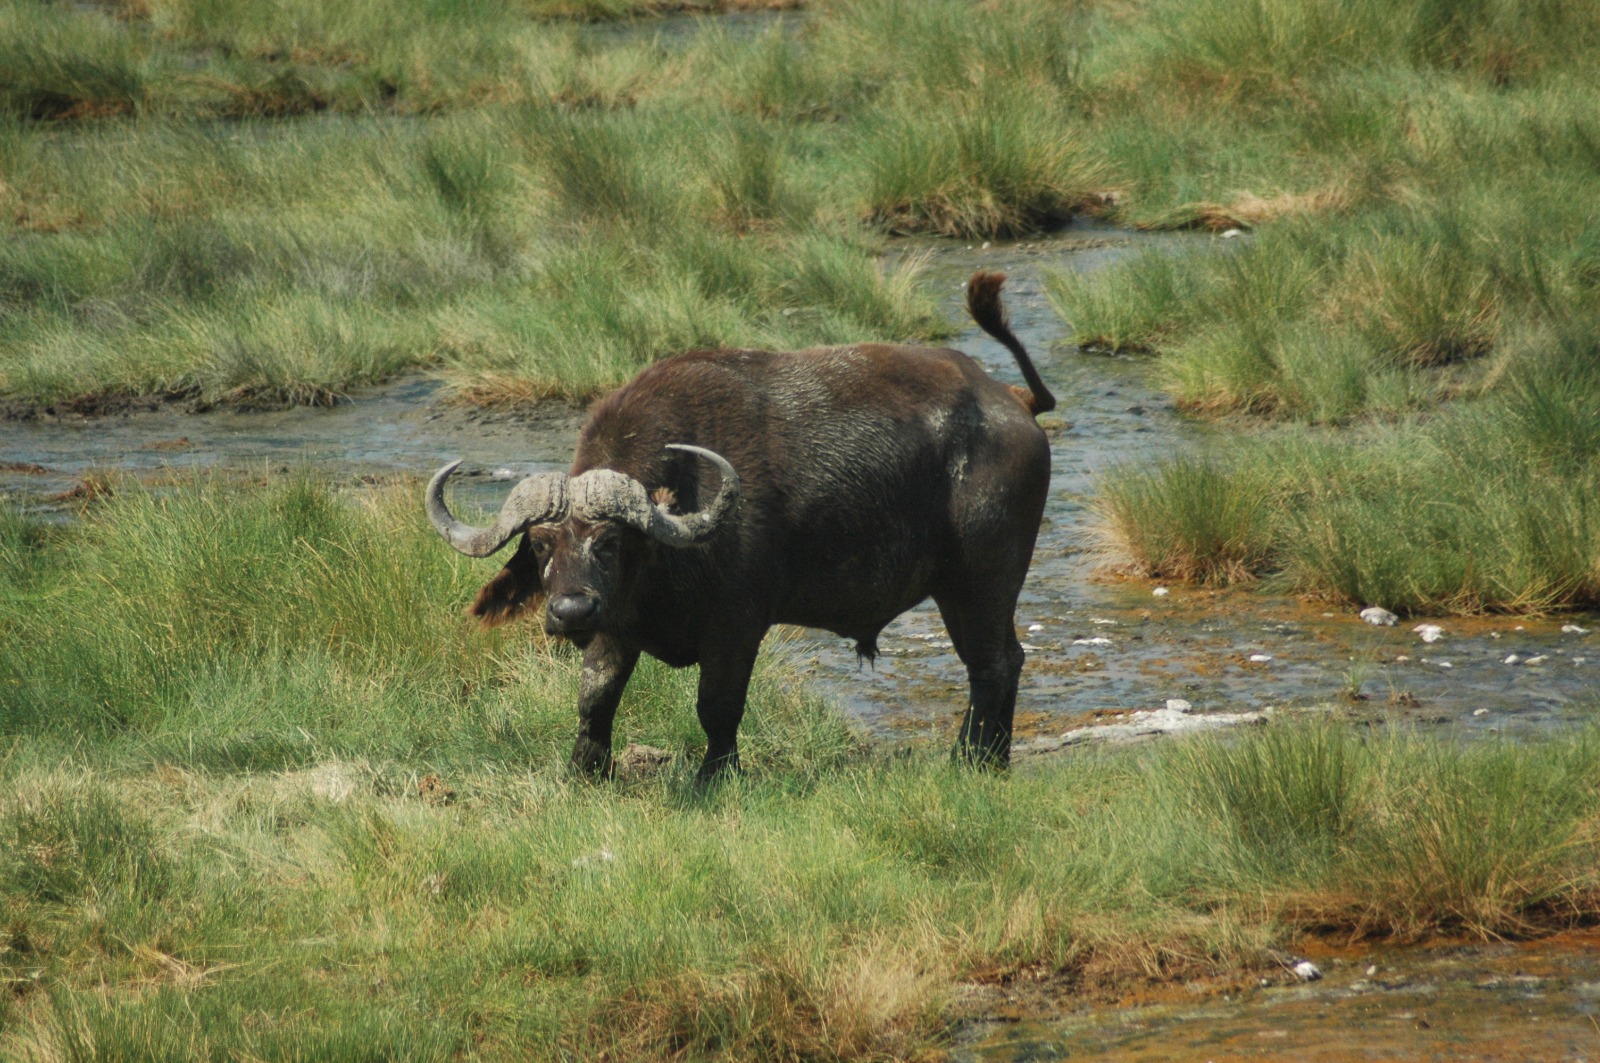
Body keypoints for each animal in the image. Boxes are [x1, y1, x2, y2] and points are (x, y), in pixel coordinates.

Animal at [427, 271, 1054, 780]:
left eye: (610, 542)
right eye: (539, 544)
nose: (571, 611)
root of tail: (1012, 402)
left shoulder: (736, 627)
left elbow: (717, 707)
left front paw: (714, 775)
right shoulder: (616, 626)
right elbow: (596, 697)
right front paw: (587, 769)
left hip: (981, 581)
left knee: (991, 665)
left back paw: (970, 760)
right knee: (1004, 661)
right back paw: (992, 761)